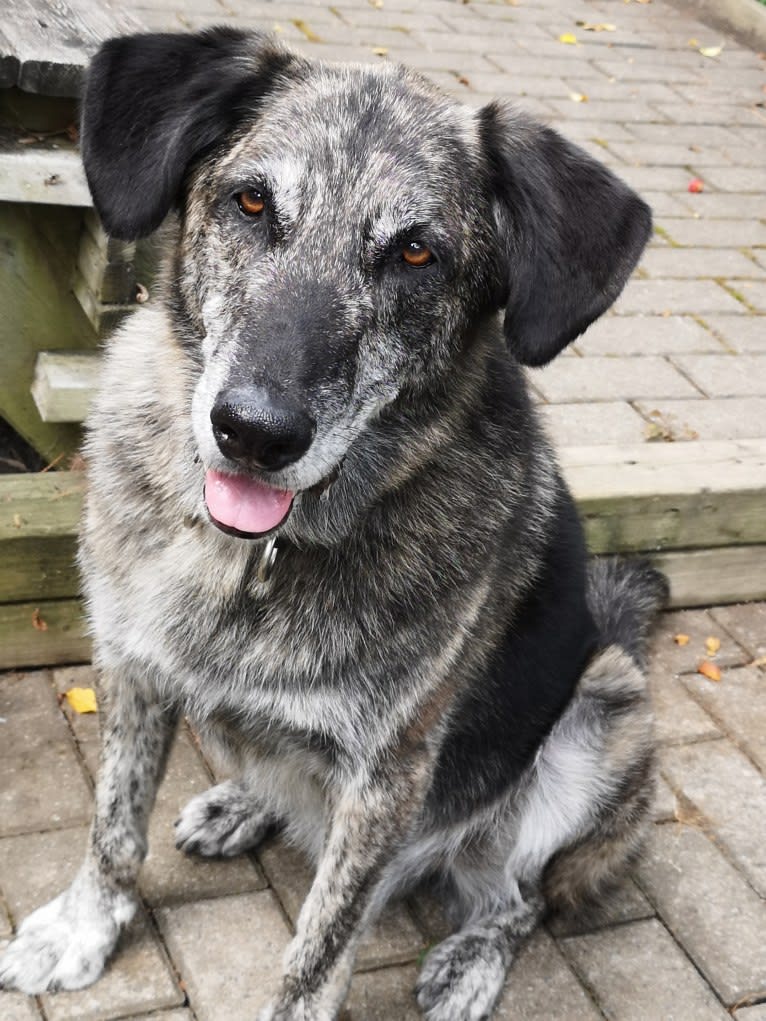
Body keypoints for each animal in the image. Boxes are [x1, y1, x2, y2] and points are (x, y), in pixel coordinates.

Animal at [0, 27, 669, 1016]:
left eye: (418, 254)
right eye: (251, 201)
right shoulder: (134, 670)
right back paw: (242, 802)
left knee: (520, 896)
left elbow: (320, 949)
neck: (257, 557)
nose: (253, 432)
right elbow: (114, 822)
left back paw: (473, 960)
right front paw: (86, 926)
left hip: (601, 709)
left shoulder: (387, 781)